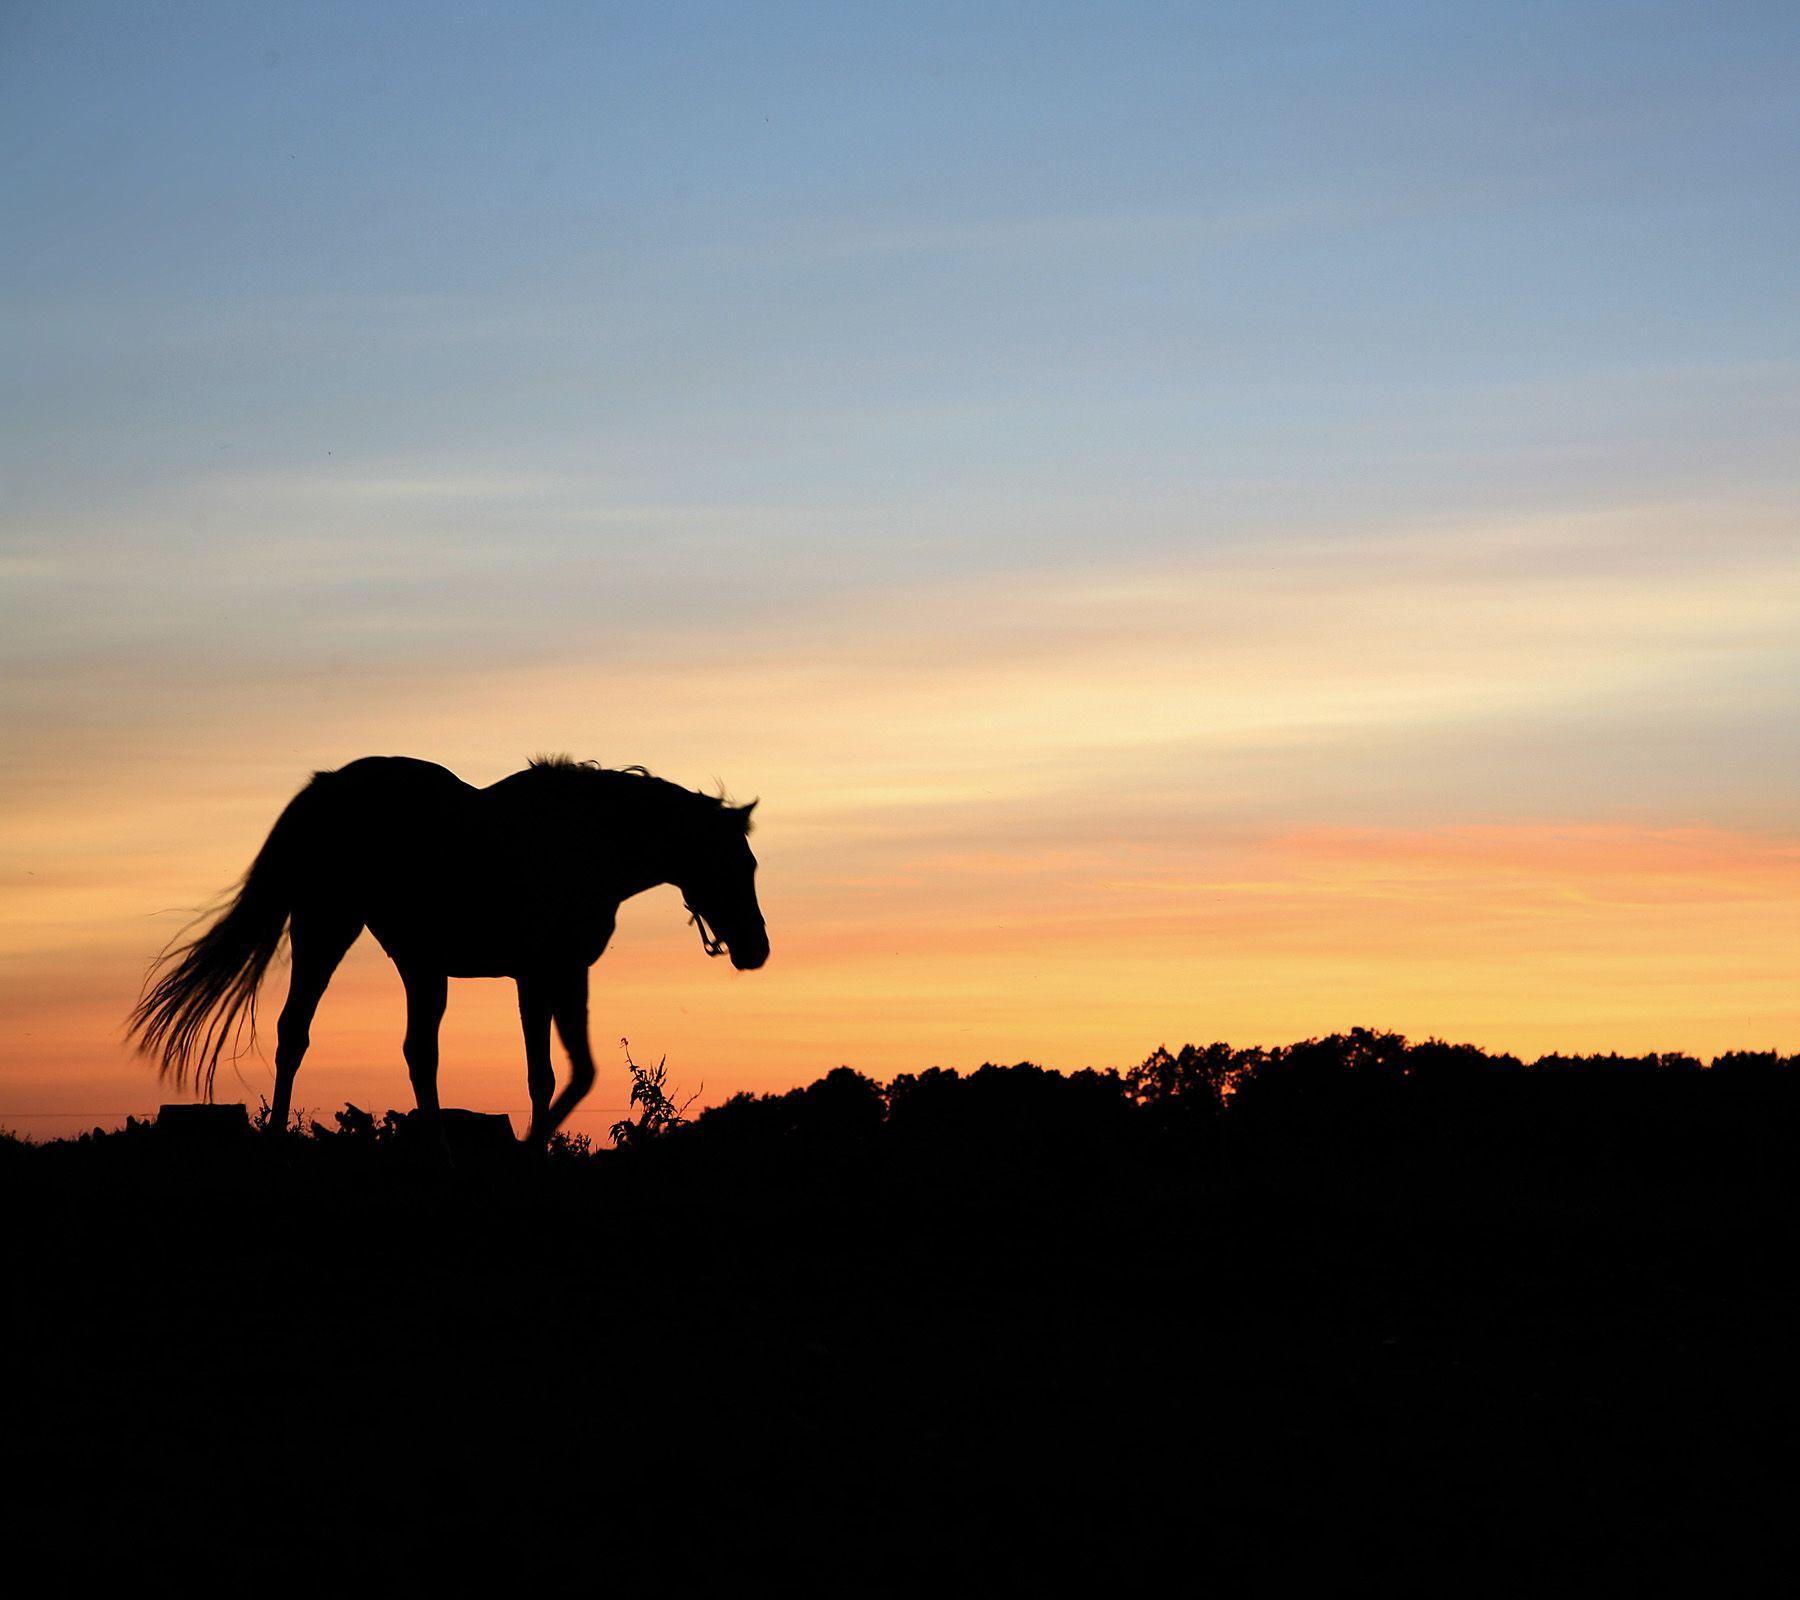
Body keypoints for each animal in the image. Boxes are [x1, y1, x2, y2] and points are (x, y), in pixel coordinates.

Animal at [127, 755, 768, 1144]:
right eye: (739, 863)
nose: (756, 949)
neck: (586, 841)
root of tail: (327, 786)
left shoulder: (548, 975)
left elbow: (553, 1074)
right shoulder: (549, 972)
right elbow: (565, 1073)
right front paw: (532, 1148)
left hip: (406, 959)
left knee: (388, 1047)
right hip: (334, 929)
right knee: (314, 1035)